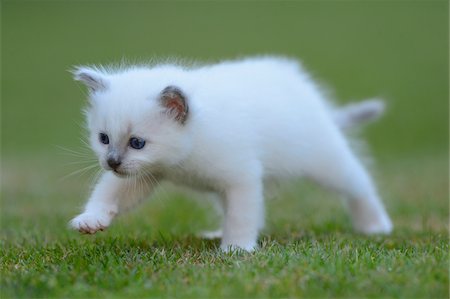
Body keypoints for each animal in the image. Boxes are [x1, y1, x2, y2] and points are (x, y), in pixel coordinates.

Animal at [68, 56, 392, 253]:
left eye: (137, 142)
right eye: (103, 138)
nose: (111, 161)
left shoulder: (242, 176)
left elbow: (240, 215)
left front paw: (236, 249)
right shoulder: (144, 173)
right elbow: (109, 193)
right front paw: (91, 220)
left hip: (325, 159)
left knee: (360, 185)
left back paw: (375, 225)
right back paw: (215, 233)